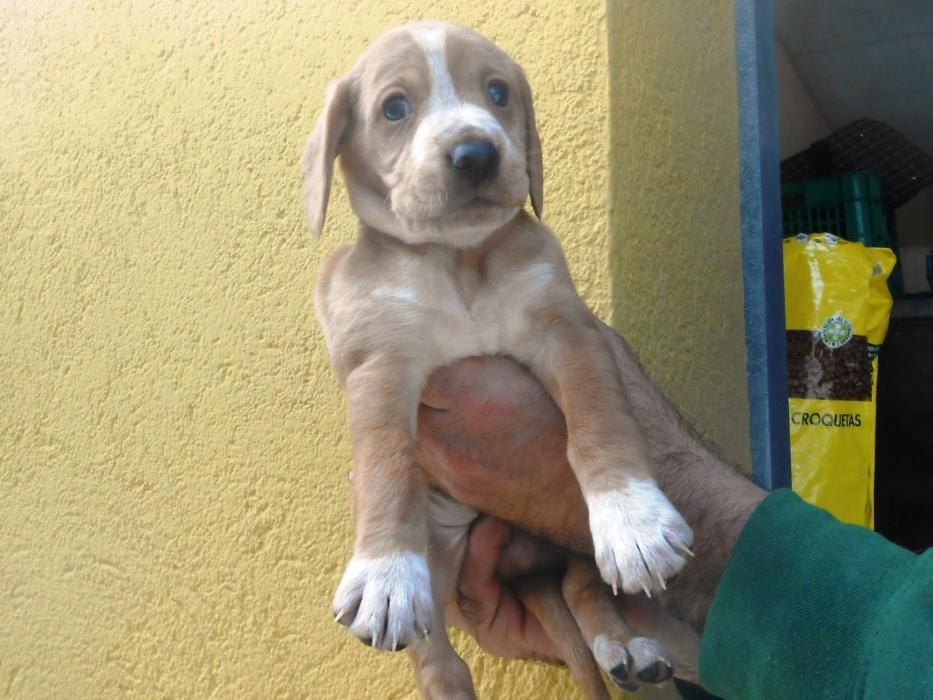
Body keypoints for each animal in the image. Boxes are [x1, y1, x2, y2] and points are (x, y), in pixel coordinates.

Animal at [302, 19, 696, 696]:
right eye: (394, 108)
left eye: (497, 93)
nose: (475, 154)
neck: (457, 259)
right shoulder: (379, 363)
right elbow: (387, 464)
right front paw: (385, 571)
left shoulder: (566, 330)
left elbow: (599, 421)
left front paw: (635, 520)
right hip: (444, 581)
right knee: (439, 661)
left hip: (569, 544)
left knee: (584, 585)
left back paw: (627, 644)